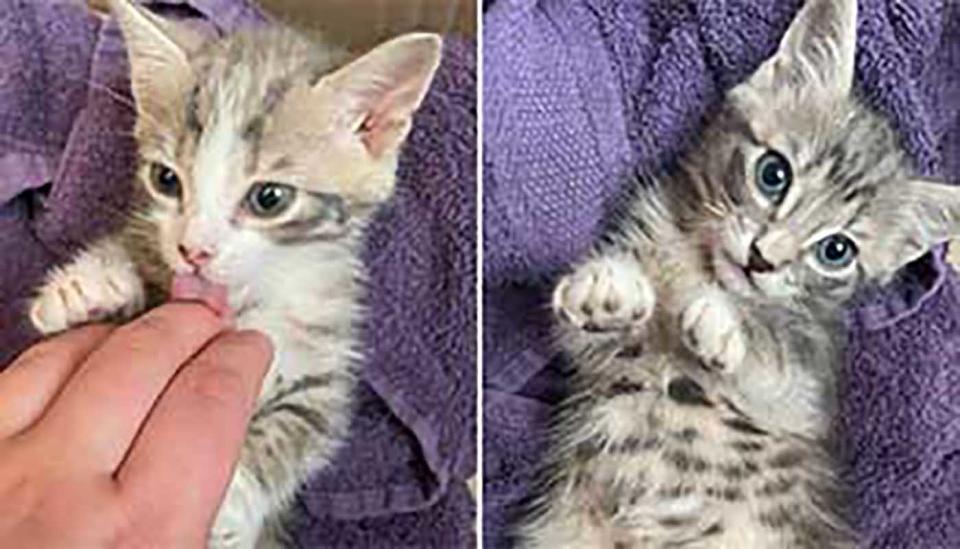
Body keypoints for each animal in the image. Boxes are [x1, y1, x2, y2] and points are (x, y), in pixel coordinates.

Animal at [26, 2, 438, 544]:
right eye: (166, 179)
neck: (245, 296)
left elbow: (293, 433)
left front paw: (231, 498)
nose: (194, 250)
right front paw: (90, 285)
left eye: (270, 198)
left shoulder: (324, 381)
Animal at [516, 1, 960, 548]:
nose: (761, 258)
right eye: (773, 173)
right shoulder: (601, 361)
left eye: (836, 250)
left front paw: (721, 324)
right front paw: (607, 287)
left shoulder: (807, 390)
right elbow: (583, 332)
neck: (700, 266)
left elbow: (773, 358)